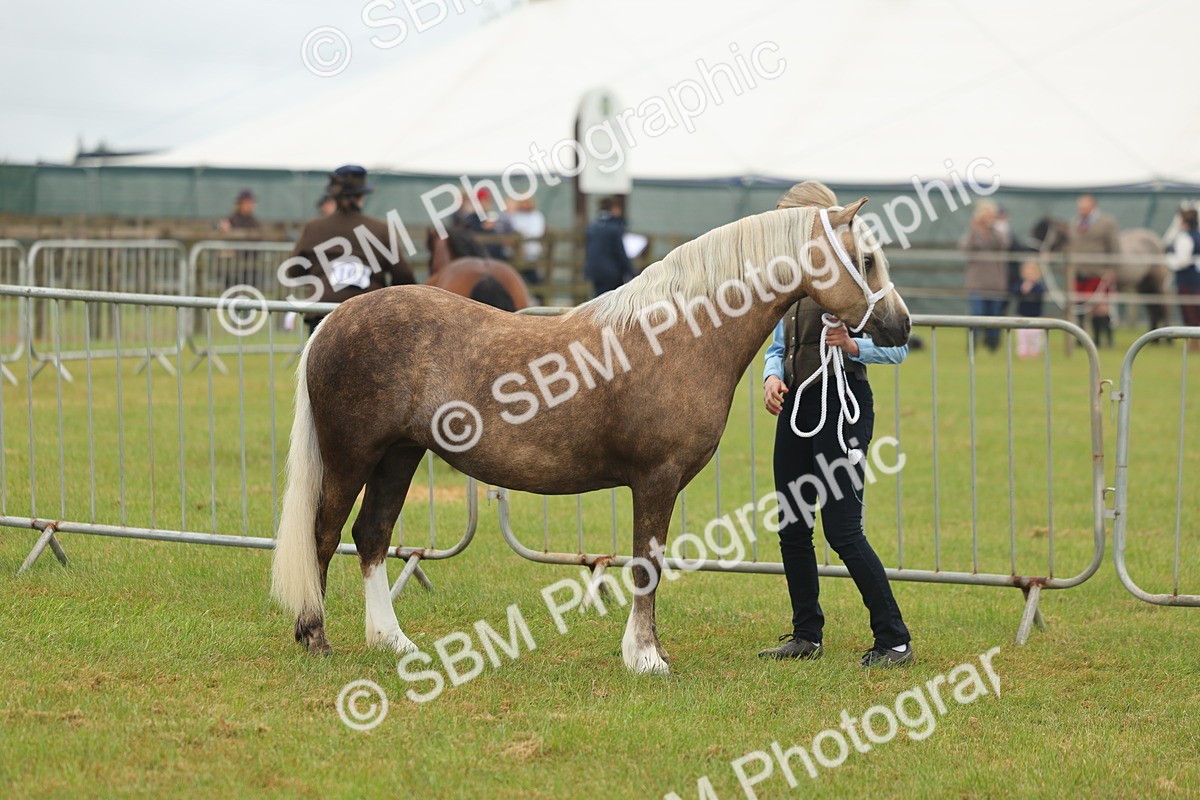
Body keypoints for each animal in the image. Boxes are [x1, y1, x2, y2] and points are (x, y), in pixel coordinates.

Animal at [270, 200, 910, 675]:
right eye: (867, 258)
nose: (900, 326)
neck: (679, 334)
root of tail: (336, 319)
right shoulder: (656, 479)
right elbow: (647, 564)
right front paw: (646, 658)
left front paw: (648, 650)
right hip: (352, 456)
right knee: (325, 534)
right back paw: (316, 638)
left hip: (399, 456)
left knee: (372, 536)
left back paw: (393, 642)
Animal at [1032, 217, 1170, 330]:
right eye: (1034, 231)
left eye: (1043, 233)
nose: (1032, 251)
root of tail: (1155, 239)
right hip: (1144, 285)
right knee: (1153, 308)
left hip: (1156, 283)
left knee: (1162, 307)